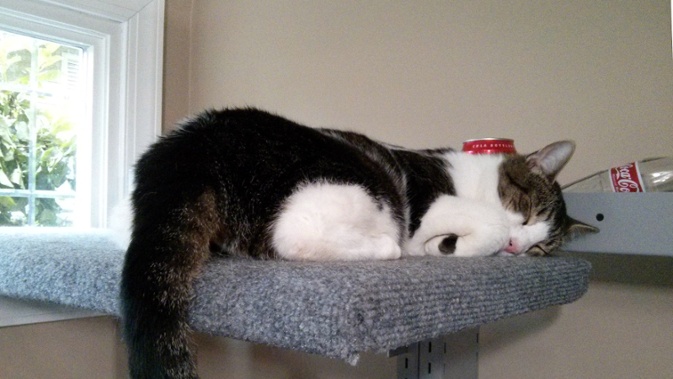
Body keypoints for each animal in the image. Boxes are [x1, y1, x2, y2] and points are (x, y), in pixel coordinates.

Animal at [119, 107, 592, 379]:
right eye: (527, 212)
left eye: (539, 249)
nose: (517, 247)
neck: (467, 174)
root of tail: (190, 143)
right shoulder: (430, 205)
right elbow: (485, 222)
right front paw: (460, 243)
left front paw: (448, 247)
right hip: (354, 187)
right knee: (293, 236)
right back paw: (386, 246)